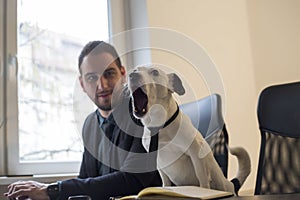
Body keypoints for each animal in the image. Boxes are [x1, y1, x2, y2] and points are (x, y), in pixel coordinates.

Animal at [127, 66, 251, 195]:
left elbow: (202, 178)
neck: (159, 125)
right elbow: (165, 180)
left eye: (155, 72)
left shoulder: (195, 151)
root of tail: (231, 185)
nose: (132, 75)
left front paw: (204, 190)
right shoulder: (158, 162)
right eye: (136, 70)